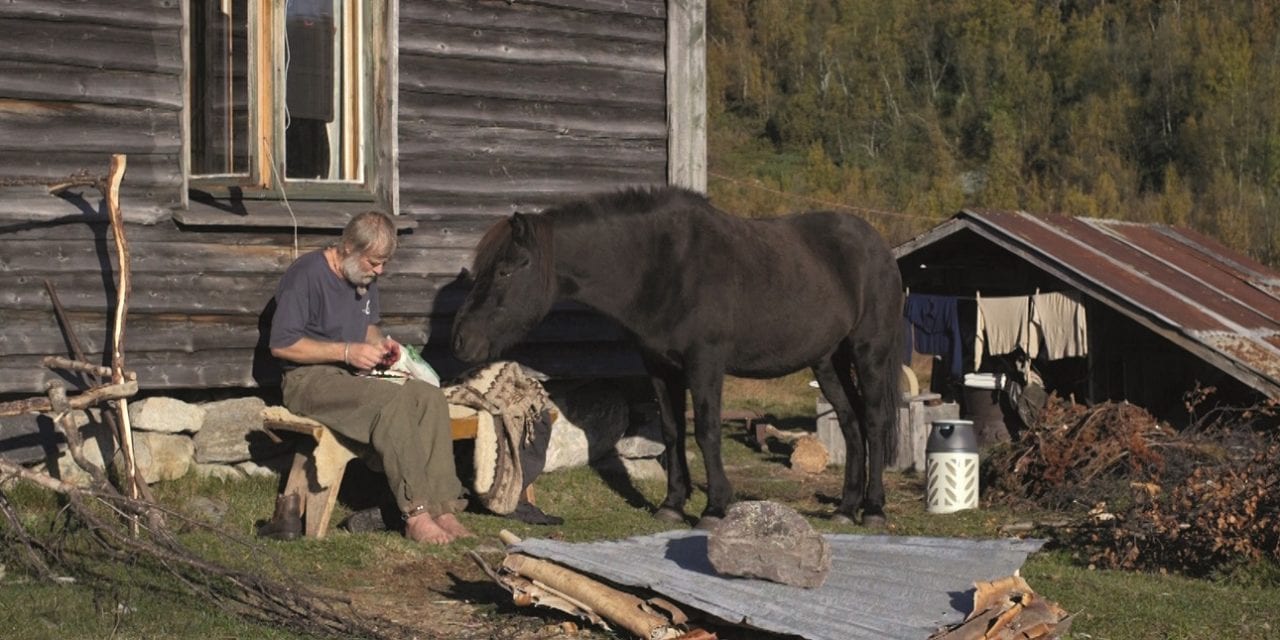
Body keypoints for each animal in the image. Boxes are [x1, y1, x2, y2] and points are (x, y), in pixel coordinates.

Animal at [455, 186, 906, 527]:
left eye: (508, 268)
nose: (462, 340)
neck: (664, 266)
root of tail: (879, 246)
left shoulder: (704, 364)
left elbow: (705, 431)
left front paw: (715, 508)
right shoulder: (659, 365)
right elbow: (672, 431)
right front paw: (672, 504)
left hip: (869, 352)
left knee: (873, 421)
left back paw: (873, 509)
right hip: (827, 362)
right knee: (850, 424)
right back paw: (846, 508)